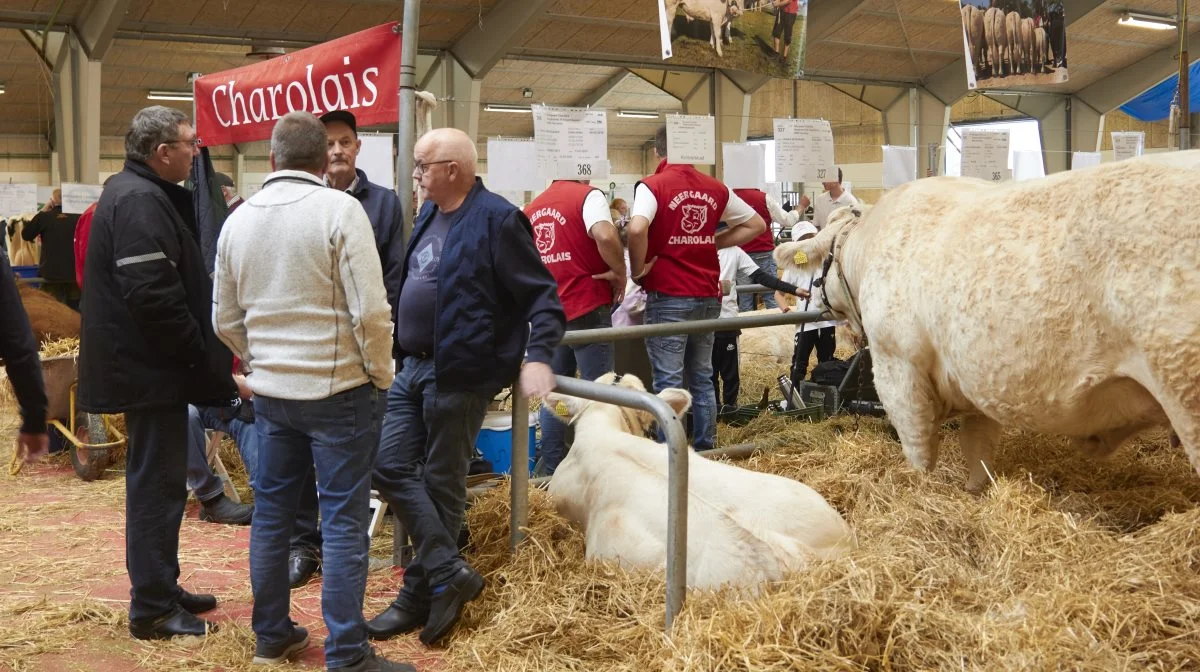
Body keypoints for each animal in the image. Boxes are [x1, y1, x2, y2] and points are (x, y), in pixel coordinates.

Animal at [772, 154, 1200, 492]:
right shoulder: (976, 379)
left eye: (820, 269)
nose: (816, 302)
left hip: (1183, 387)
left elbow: (919, 452)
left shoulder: (899, 367)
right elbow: (978, 454)